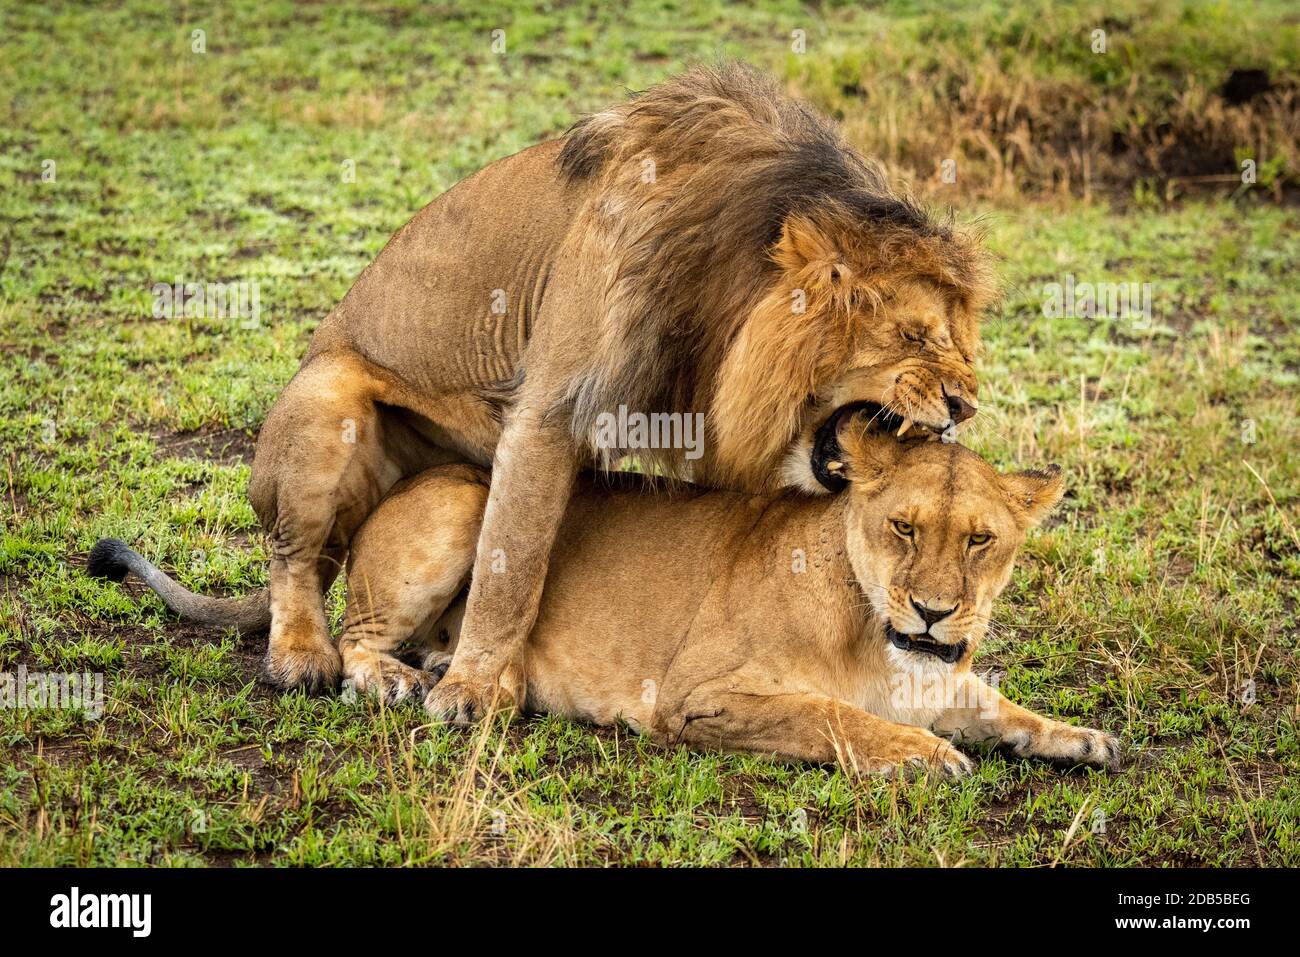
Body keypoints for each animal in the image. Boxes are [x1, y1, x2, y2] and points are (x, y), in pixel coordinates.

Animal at [96, 416, 1123, 774]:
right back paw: (410, 679)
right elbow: (834, 718)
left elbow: (1000, 707)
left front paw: (1082, 738)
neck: (877, 631)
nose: (937, 611)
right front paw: (920, 754)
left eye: (981, 539)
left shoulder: (942, 676)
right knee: (350, 638)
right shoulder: (701, 696)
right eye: (904, 527)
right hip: (466, 502)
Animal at [116, 63, 987, 722]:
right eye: (915, 336)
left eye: (959, 340)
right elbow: (515, 560)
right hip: (327, 397)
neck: (725, 283)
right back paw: (313, 656)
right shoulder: (550, 407)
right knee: (297, 561)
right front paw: (474, 692)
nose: (965, 405)